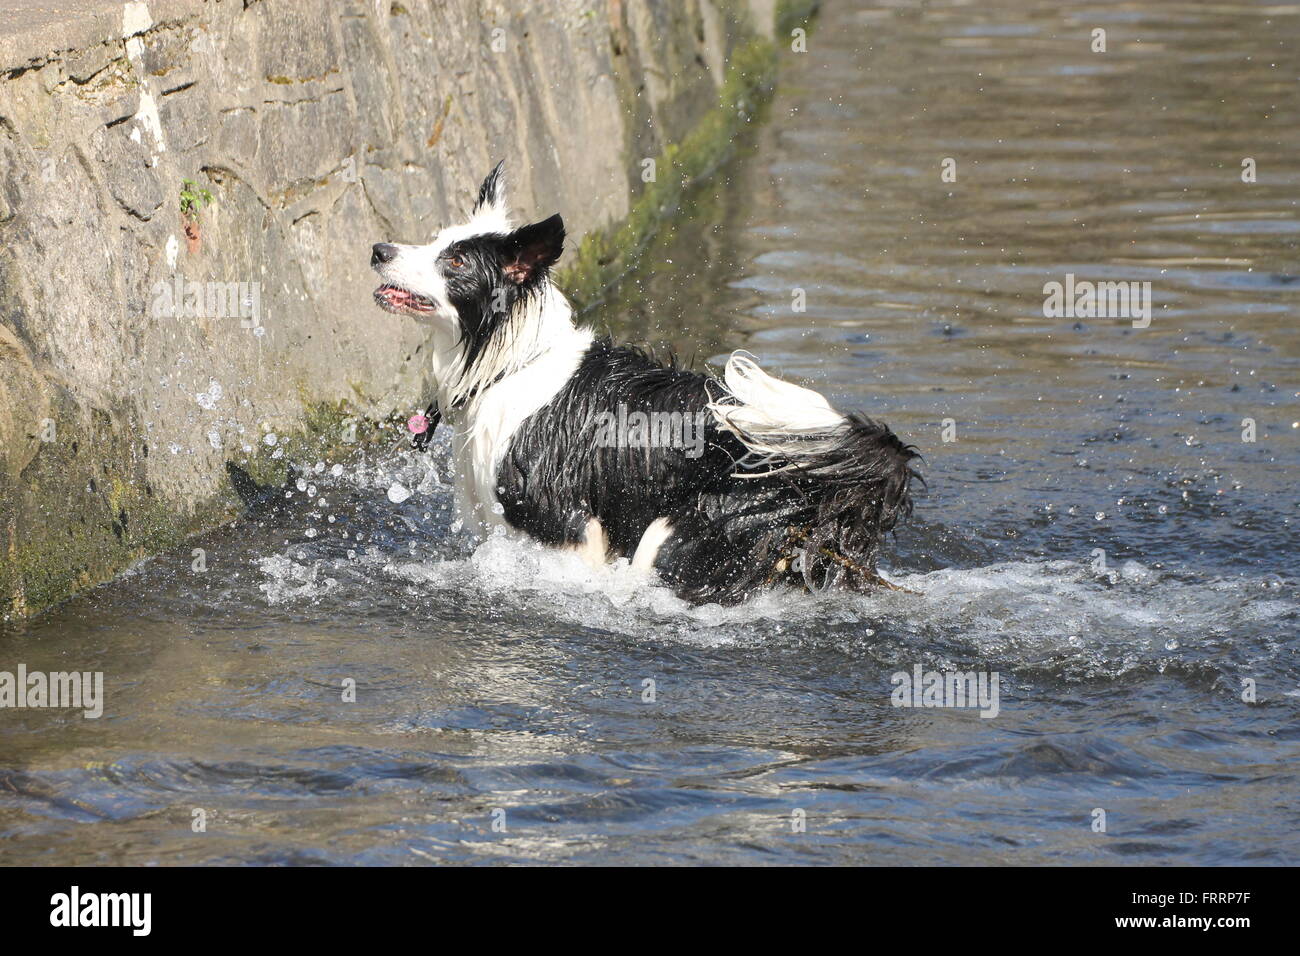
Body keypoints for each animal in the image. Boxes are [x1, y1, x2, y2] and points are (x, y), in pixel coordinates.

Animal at [371, 160, 920, 600]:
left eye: (456, 260)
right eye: (435, 240)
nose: (378, 249)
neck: (511, 363)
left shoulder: (565, 528)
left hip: (682, 533)